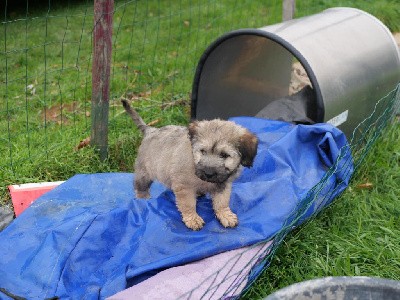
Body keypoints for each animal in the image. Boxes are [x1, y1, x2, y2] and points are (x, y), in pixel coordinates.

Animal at [122, 99, 258, 231]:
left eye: (224, 155)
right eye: (202, 151)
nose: (208, 173)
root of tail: (151, 130)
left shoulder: (223, 184)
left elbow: (222, 201)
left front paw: (225, 214)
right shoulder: (184, 186)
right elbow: (188, 204)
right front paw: (193, 218)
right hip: (144, 172)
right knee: (140, 186)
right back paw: (143, 199)